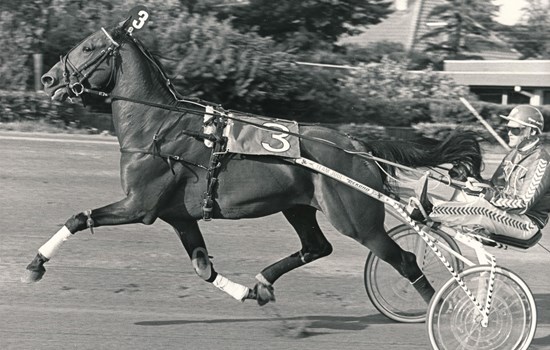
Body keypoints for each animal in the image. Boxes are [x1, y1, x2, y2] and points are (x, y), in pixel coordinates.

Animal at [25, 18, 484, 306]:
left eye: (88, 47)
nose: (48, 79)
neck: (159, 125)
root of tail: (357, 145)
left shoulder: (140, 206)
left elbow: (78, 218)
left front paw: (36, 264)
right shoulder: (179, 215)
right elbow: (203, 268)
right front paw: (247, 291)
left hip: (359, 221)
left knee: (404, 261)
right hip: (299, 206)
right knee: (317, 246)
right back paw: (263, 282)